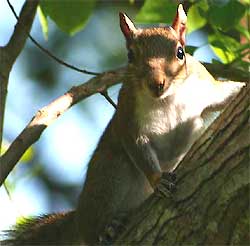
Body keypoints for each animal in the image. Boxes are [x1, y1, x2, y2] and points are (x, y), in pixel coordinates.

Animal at [1, 3, 244, 246]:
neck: (167, 99)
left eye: (180, 52)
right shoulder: (128, 116)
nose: (156, 83)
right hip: (109, 174)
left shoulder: (205, 88)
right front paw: (158, 180)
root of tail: (78, 218)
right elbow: (136, 146)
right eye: (131, 55)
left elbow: (226, 95)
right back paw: (107, 227)